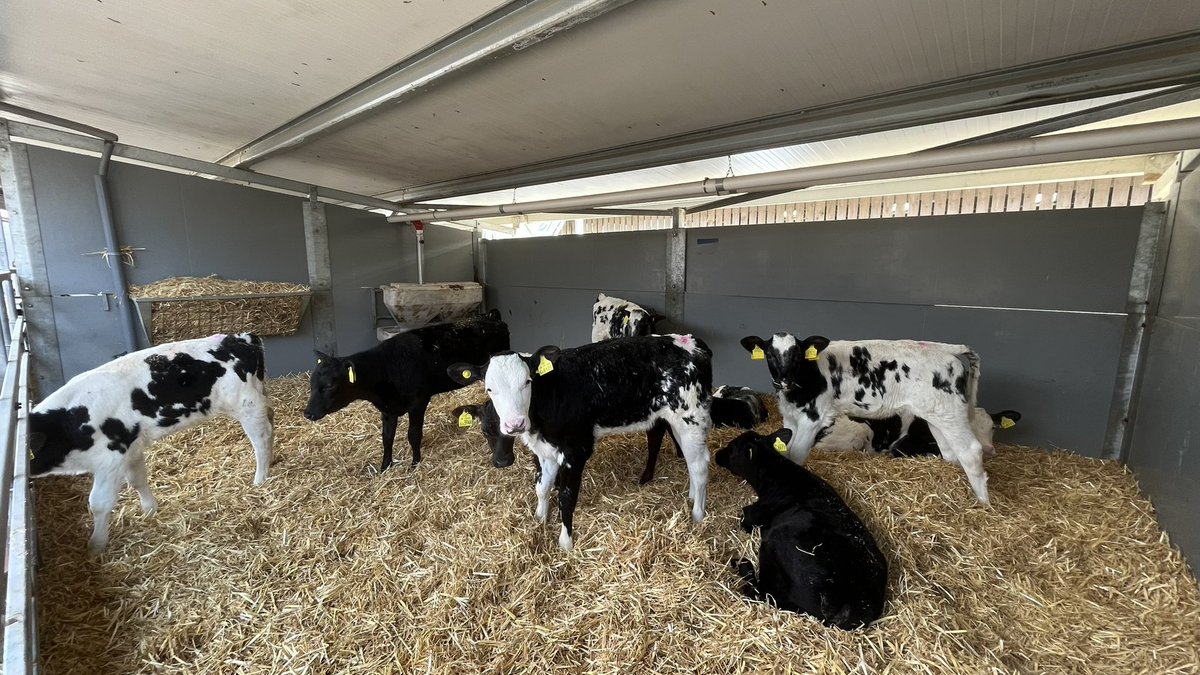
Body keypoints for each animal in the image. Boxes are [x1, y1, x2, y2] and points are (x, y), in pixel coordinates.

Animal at [28, 333, 273, 554]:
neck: (69, 421)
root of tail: (241, 338)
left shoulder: (111, 458)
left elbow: (99, 503)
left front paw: (95, 545)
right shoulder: (132, 449)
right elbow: (138, 480)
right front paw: (149, 510)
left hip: (247, 405)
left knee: (261, 440)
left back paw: (260, 478)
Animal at [305, 310, 509, 472]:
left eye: (329, 385)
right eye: (311, 383)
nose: (308, 413)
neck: (387, 366)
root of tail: (490, 315)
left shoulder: (418, 402)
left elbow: (413, 434)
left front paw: (415, 464)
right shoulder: (388, 409)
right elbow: (387, 438)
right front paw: (384, 467)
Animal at [449, 333, 713, 552]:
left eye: (527, 381)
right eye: (489, 388)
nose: (515, 424)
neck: (552, 394)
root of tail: (692, 342)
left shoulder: (576, 449)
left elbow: (566, 497)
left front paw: (565, 543)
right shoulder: (545, 450)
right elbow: (542, 487)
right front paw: (539, 520)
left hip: (692, 417)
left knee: (700, 467)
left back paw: (698, 516)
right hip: (676, 420)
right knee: (691, 461)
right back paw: (691, 498)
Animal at [717, 428, 888, 629]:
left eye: (732, 448)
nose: (716, 454)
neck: (777, 473)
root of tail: (857, 606)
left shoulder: (751, 516)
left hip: (776, 541)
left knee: (763, 593)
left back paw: (742, 564)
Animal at [740, 334, 990, 504]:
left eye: (797, 354)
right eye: (769, 354)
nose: (784, 380)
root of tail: (948, 351)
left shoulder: (814, 418)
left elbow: (795, 455)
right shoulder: (791, 418)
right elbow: (784, 447)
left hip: (951, 412)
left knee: (971, 451)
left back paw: (983, 504)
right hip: (937, 415)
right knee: (950, 451)